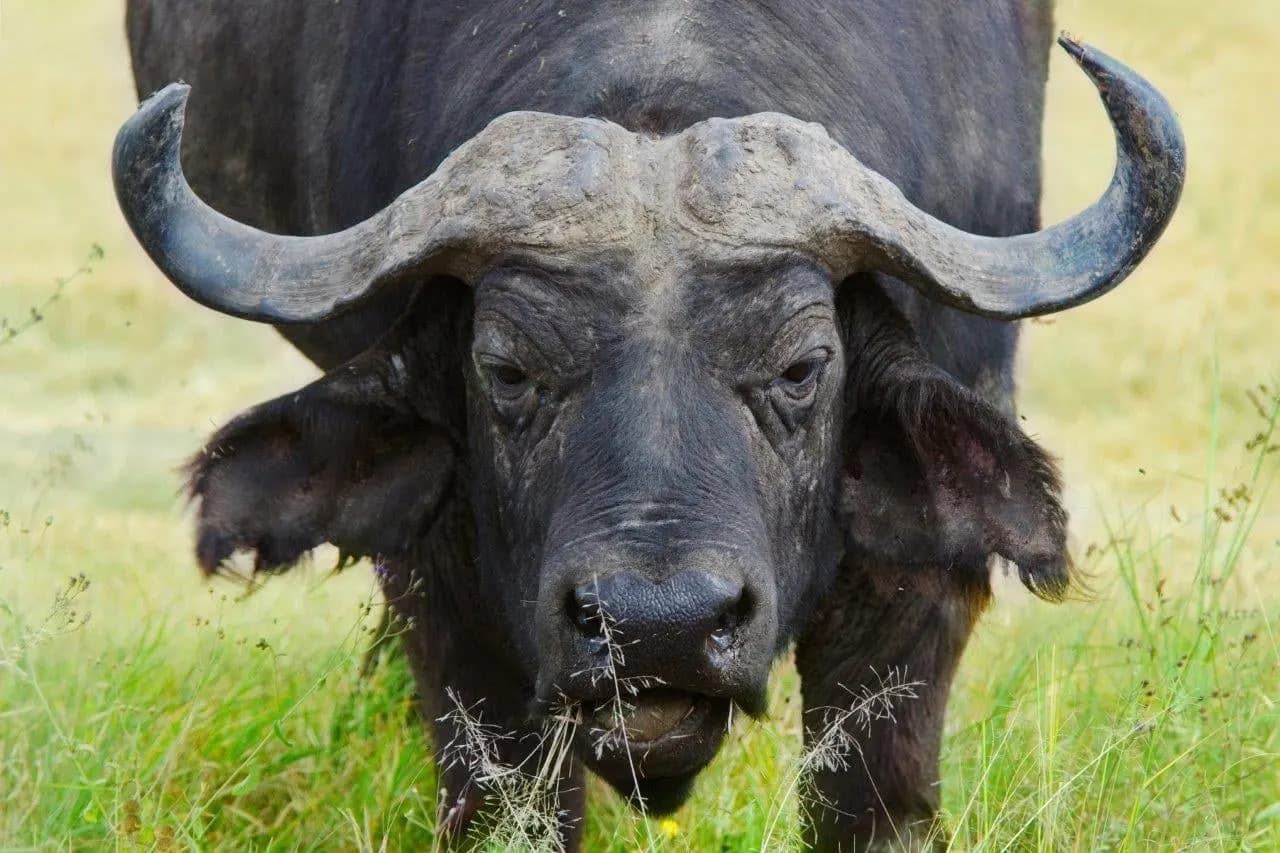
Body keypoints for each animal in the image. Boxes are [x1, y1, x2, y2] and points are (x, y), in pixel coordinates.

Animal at [116, 2, 1184, 848]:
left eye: (803, 366)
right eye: (506, 369)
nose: (657, 626)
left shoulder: (917, 583)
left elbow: (868, 788)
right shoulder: (451, 587)